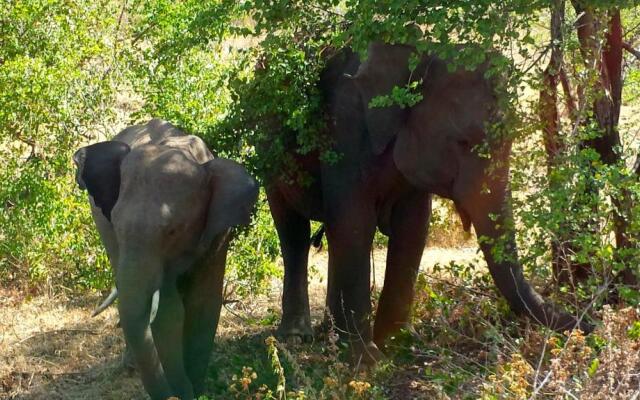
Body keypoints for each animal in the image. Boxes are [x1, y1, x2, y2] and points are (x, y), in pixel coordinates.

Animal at [76, 119, 262, 400]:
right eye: (117, 225)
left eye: (173, 231)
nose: (175, 394)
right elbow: (169, 311)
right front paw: (186, 389)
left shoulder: (217, 234)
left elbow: (203, 303)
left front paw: (195, 388)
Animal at [264, 41, 592, 360]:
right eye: (463, 141)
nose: (590, 323)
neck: (422, 52)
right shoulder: (344, 129)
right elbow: (353, 223)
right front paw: (365, 360)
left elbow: (413, 228)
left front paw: (400, 345)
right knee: (294, 232)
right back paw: (297, 338)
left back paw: (327, 334)